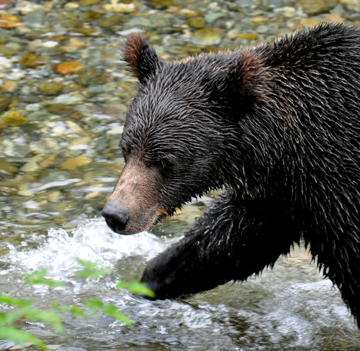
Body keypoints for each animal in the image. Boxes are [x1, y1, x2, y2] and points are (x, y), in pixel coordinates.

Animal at [101, 23, 360, 328]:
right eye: (126, 149)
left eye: (165, 161)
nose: (116, 215)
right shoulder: (279, 196)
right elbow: (229, 243)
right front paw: (147, 283)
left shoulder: (334, 180)